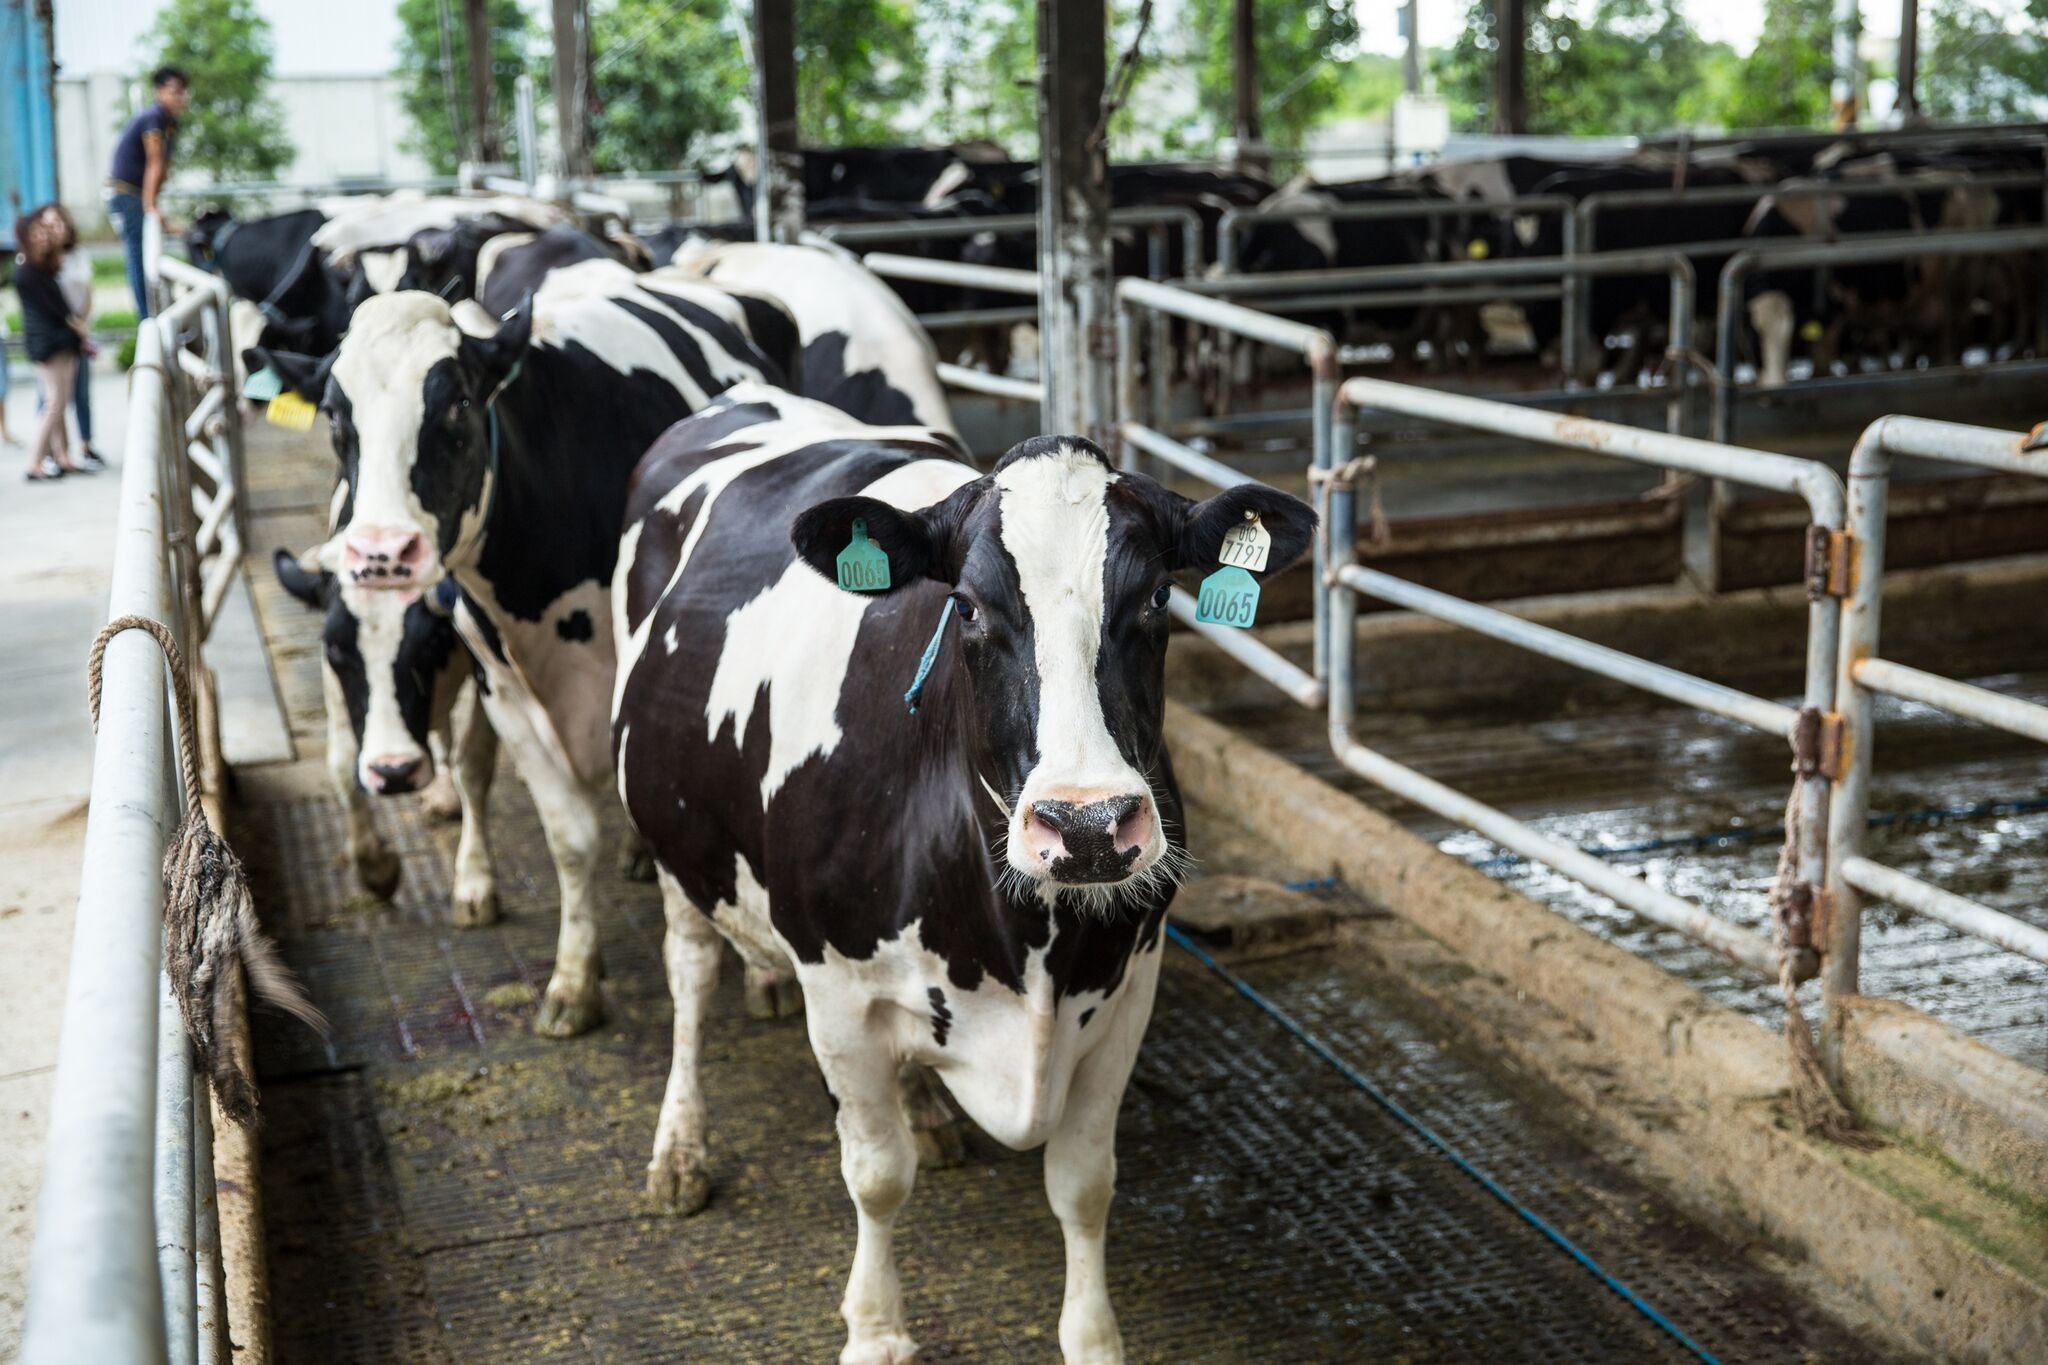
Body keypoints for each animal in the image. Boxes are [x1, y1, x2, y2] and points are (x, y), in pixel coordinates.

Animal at [284, 270, 794, 1035]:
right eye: (336, 418)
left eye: (459, 404)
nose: (382, 553)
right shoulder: (506, 692)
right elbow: (567, 838)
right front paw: (574, 981)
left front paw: (767, 975)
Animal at [606, 386, 1310, 1365]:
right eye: (970, 609)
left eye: (1157, 598)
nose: (1086, 824)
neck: (1027, 949)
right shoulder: (836, 989)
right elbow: (874, 1174)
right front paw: (875, 1329)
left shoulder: (1129, 988)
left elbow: (1084, 1181)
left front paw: (1093, 1337)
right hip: (672, 838)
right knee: (692, 974)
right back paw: (680, 1148)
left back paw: (927, 1111)